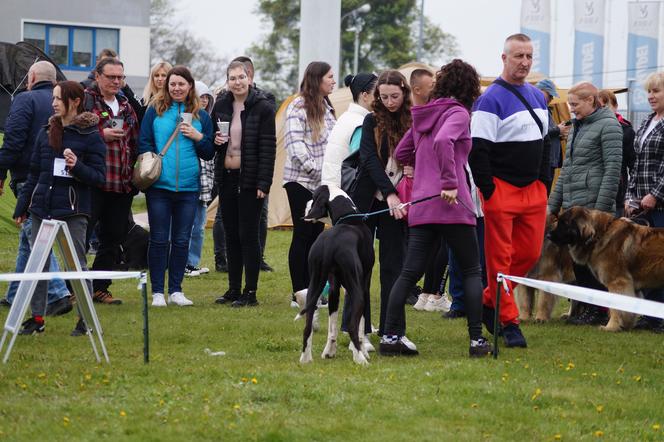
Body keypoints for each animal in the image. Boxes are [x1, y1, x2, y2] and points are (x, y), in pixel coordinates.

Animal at [296, 185, 374, 364]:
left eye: (314, 197)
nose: (306, 204)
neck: (347, 217)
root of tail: (330, 243)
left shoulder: (333, 288)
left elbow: (332, 328)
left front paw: (329, 352)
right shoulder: (365, 285)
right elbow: (361, 326)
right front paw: (362, 351)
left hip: (315, 284)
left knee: (307, 327)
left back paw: (305, 358)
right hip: (357, 290)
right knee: (352, 327)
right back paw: (361, 360)